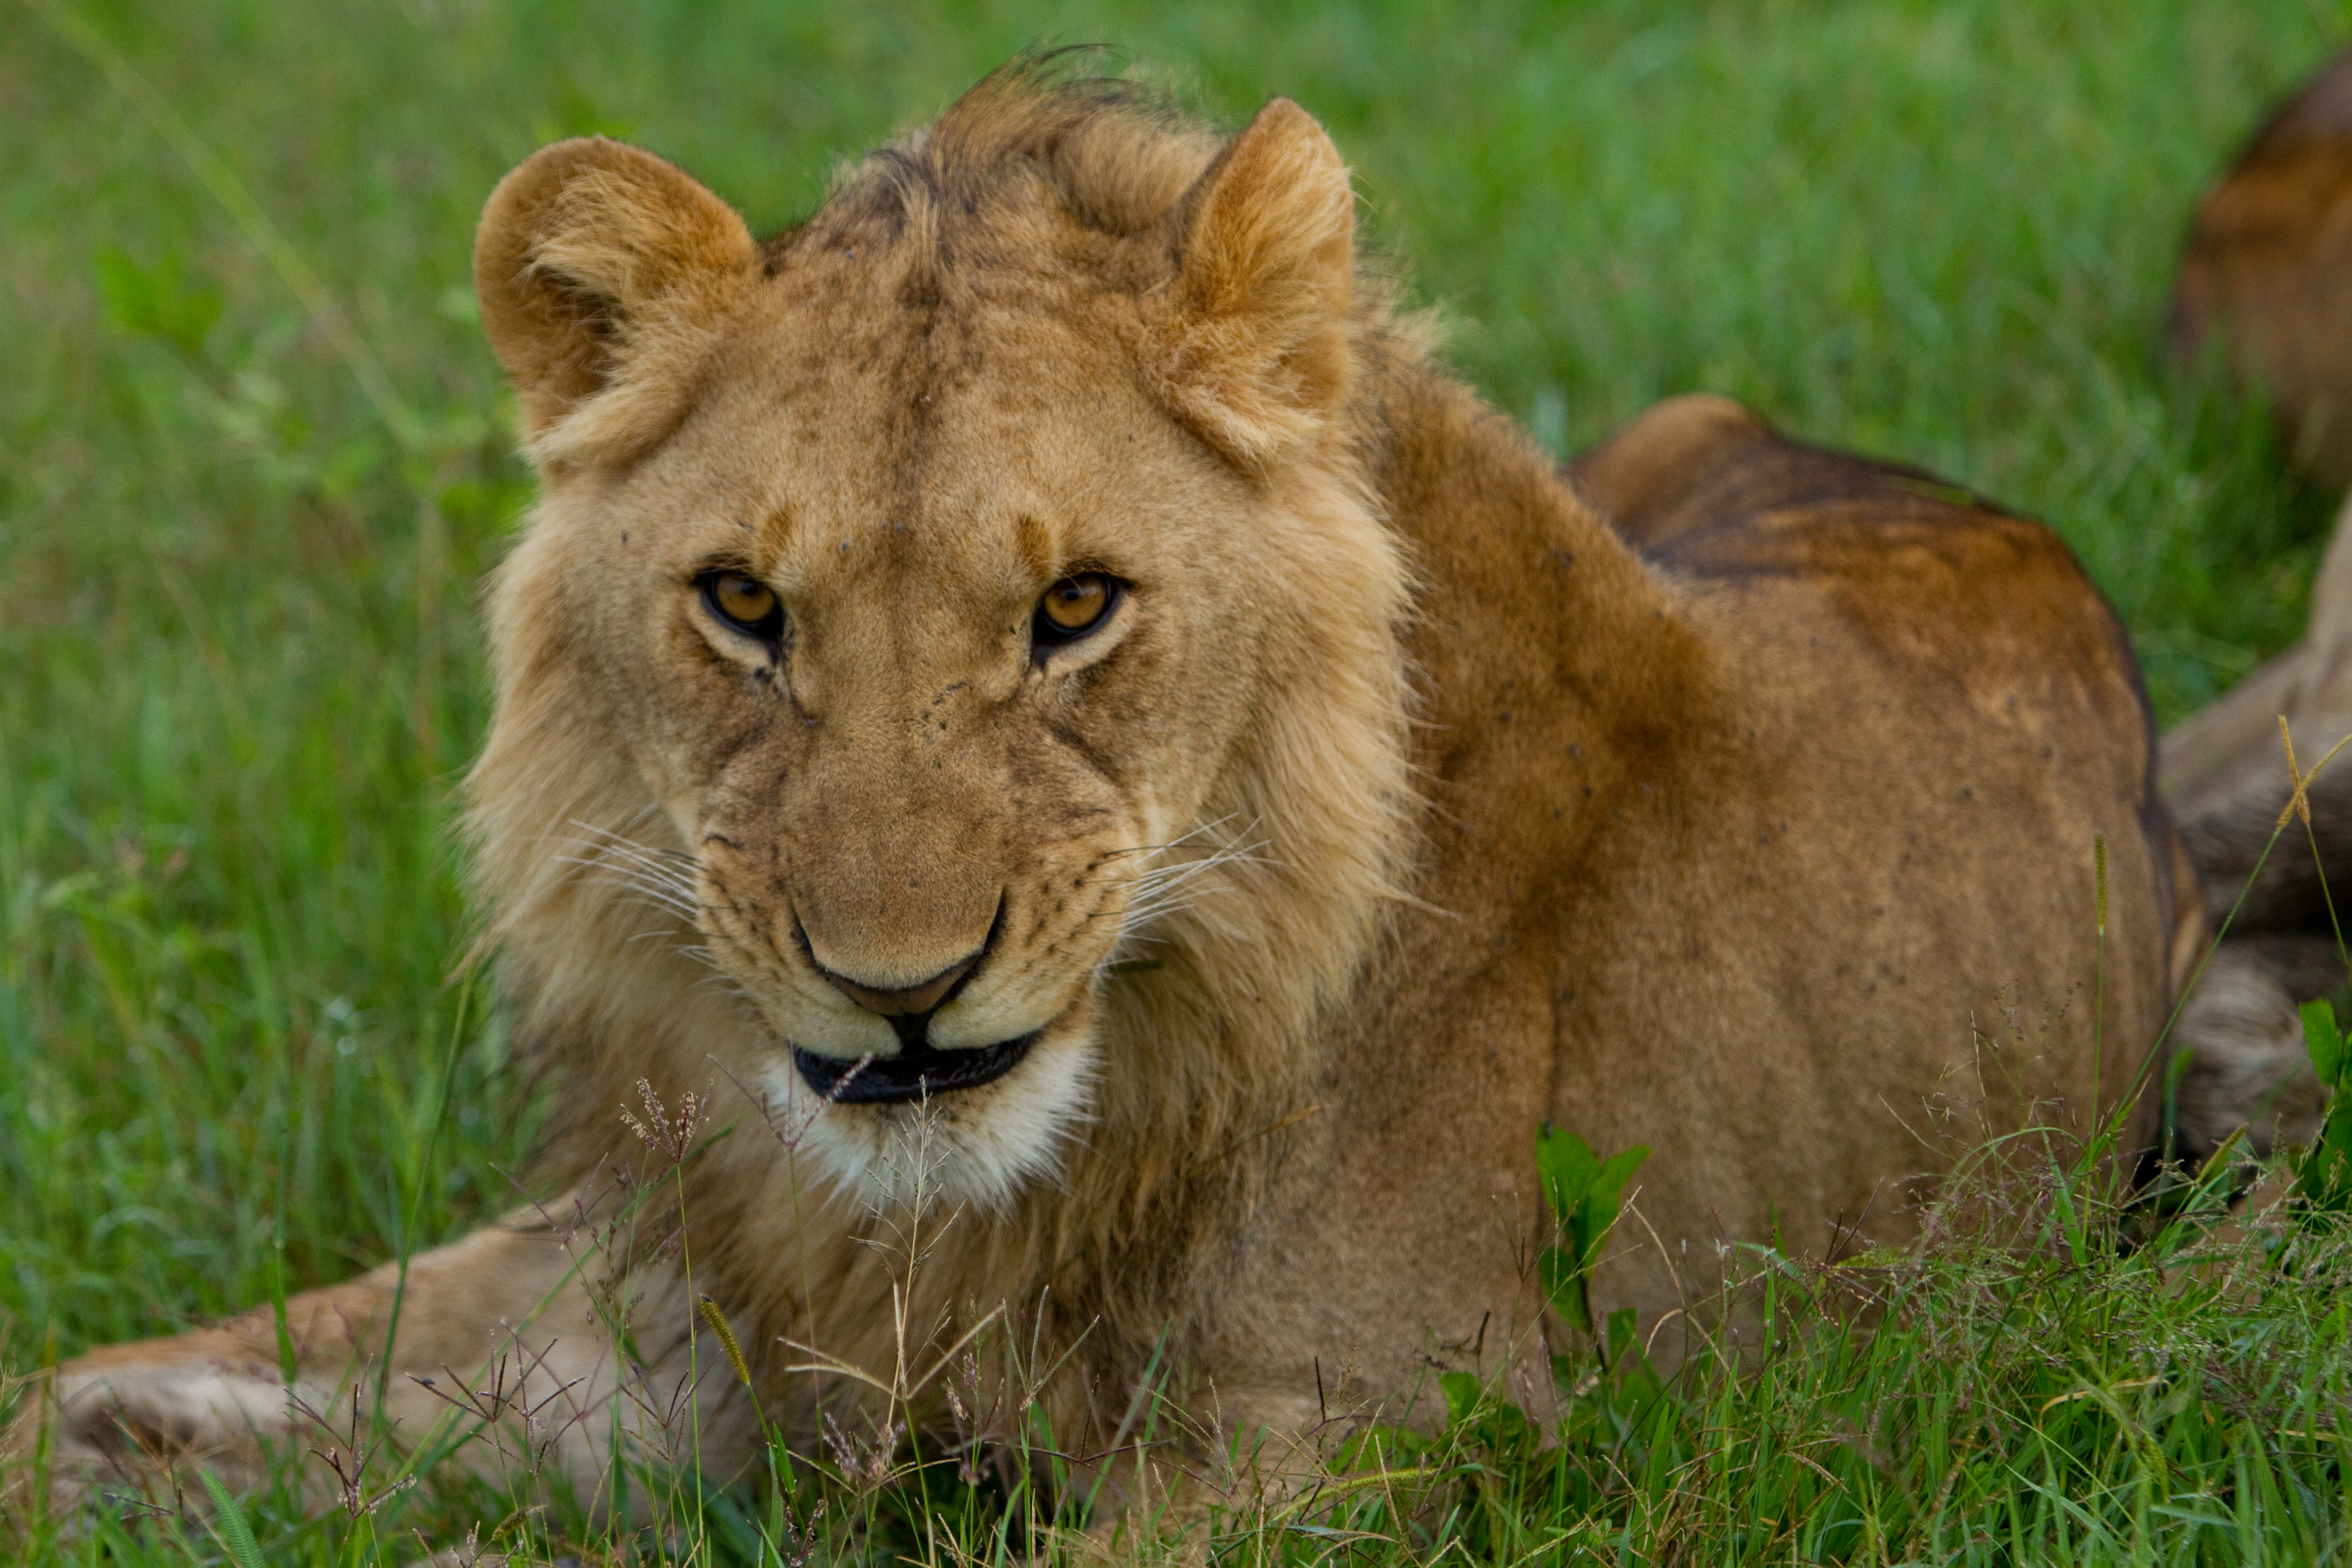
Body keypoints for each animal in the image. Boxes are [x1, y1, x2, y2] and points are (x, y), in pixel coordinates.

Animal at [10, 65, 2198, 1529]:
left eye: (1074, 606)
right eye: (743, 605)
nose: (896, 989)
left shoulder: (1382, 1423)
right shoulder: (666, 1310)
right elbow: (244, 1357)